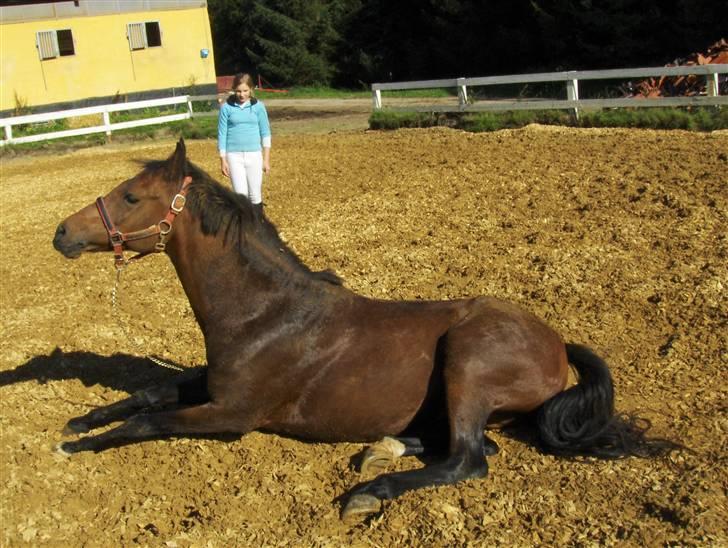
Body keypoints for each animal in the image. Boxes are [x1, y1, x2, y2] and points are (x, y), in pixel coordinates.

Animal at [52, 139, 676, 520]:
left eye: (131, 196)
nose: (61, 233)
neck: (265, 312)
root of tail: (557, 345)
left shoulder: (233, 413)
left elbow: (149, 420)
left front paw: (78, 443)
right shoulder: (212, 382)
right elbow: (150, 393)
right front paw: (82, 418)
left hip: (468, 362)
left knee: (470, 457)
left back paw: (369, 491)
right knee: (467, 442)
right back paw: (382, 449)